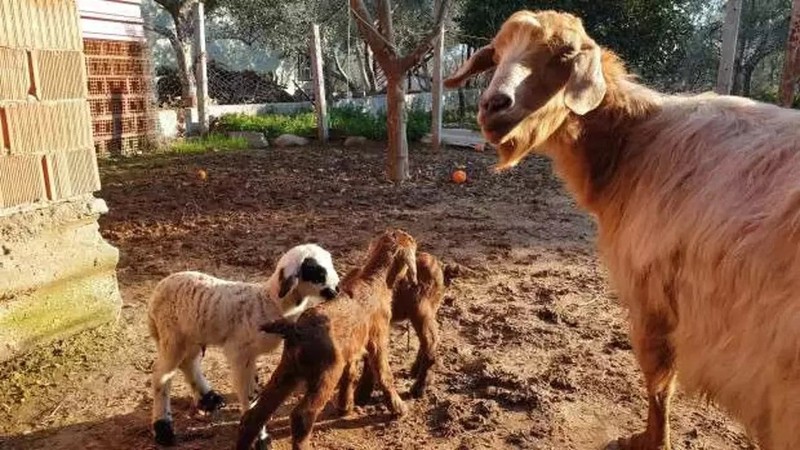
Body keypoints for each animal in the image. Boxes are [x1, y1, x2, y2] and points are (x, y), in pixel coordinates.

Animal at [148, 244, 340, 448]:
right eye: (317, 271)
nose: (337, 289)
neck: (269, 302)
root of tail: (157, 290)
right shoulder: (240, 353)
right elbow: (249, 394)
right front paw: (259, 438)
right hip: (172, 334)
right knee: (161, 374)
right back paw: (163, 428)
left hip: (193, 334)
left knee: (188, 363)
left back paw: (209, 399)